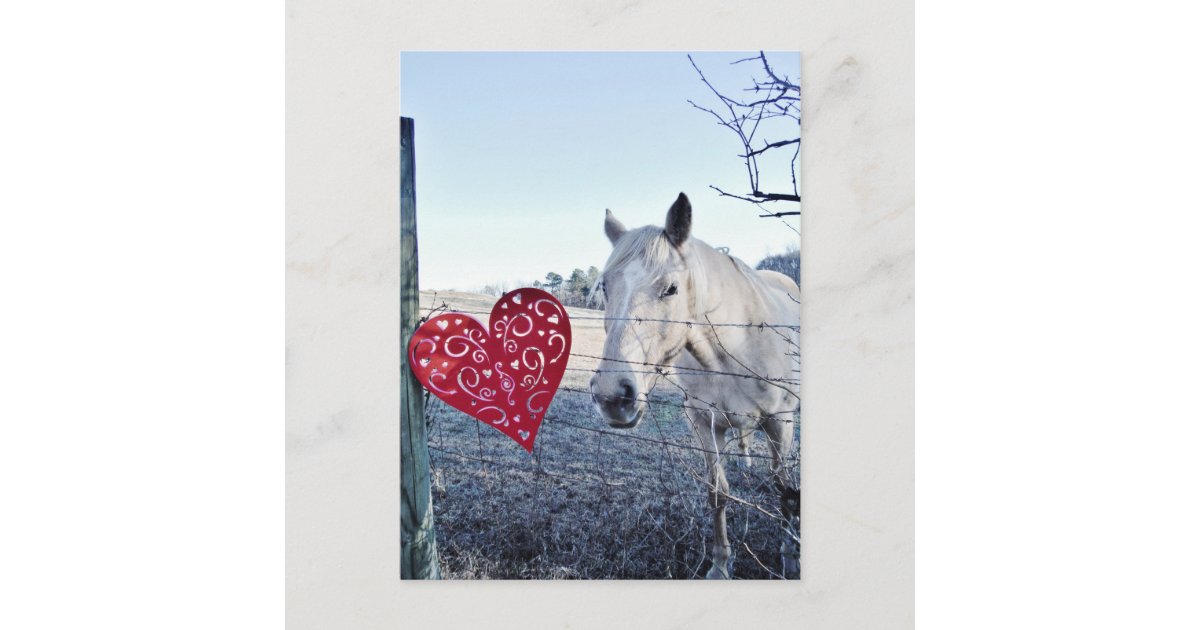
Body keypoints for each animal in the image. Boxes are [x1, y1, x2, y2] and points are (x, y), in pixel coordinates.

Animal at [589, 192, 801, 579]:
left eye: (671, 288)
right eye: (605, 286)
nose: (613, 396)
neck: (736, 346)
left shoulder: (781, 422)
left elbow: (785, 490)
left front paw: (790, 558)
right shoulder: (704, 423)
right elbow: (717, 492)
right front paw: (720, 565)